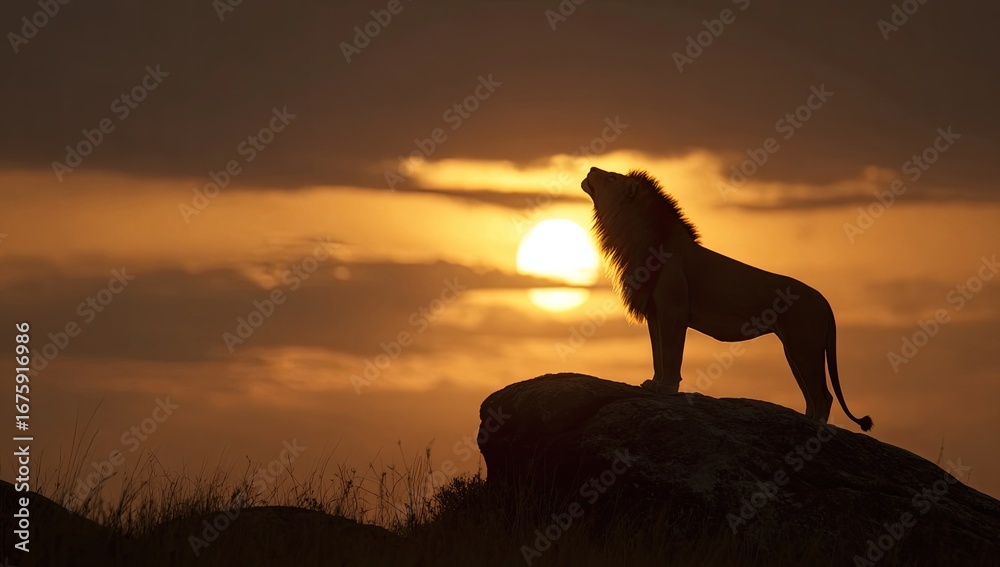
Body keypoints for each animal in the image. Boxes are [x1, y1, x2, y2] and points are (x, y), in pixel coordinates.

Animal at [581, 167, 873, 431]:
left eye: (611, 177)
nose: (592, 168)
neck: (640, 241)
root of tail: (825, 302)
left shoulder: (674, 311)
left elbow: (672, 353)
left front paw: (668, 388)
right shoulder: (655, 313)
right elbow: (658, 353)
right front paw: (654, 384)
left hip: (805, 348)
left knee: (824, 396)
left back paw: (816, 429)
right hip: (795, 352)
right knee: (811, 395)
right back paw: (805, 421)